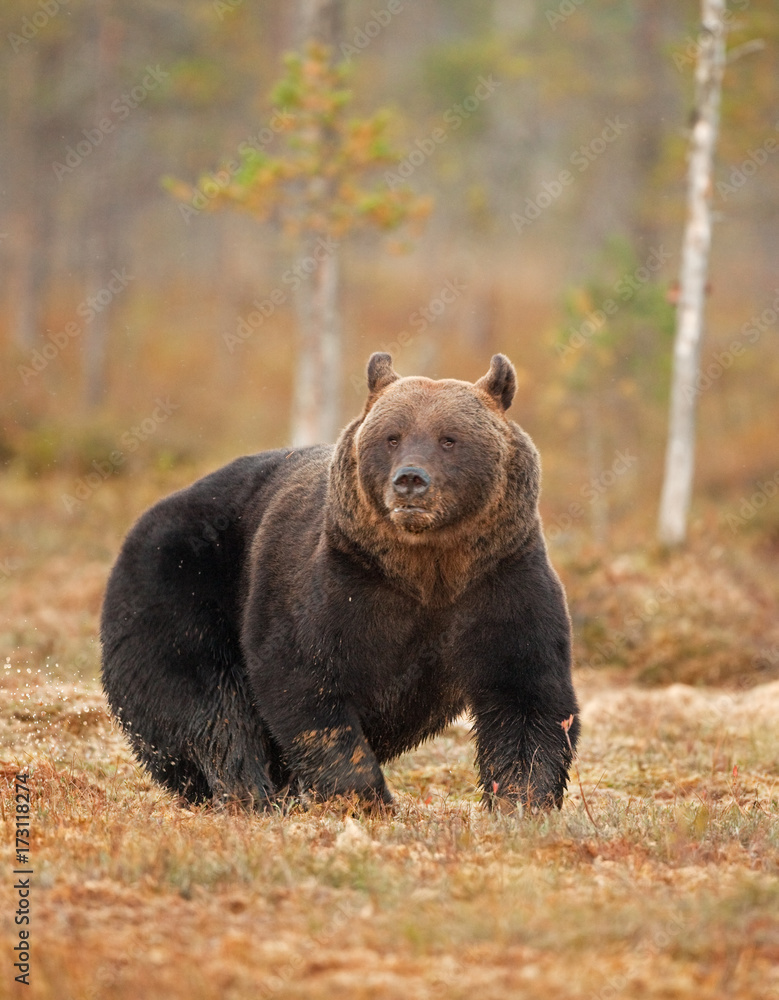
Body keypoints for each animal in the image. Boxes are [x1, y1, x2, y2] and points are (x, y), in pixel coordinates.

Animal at [101, 353, 580, 812]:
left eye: (449, 438)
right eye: (392, 436)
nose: (410, 480)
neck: (426, 567)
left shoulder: (499, 581)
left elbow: (527, 692)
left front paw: (522, 799)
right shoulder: (339, 583)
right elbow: (306, 677)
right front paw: (365, 797)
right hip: (180, 583)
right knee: (206, 703)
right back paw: (248, 792)